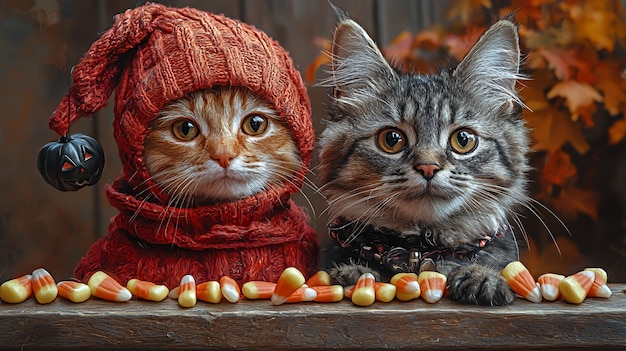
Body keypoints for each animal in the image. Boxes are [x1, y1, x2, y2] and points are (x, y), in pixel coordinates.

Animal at [320, 8, 528, 306]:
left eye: (463, 140)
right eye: (391, 140)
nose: (428, 167)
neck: (420, 253)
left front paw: (481, 277)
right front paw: (354, 274)